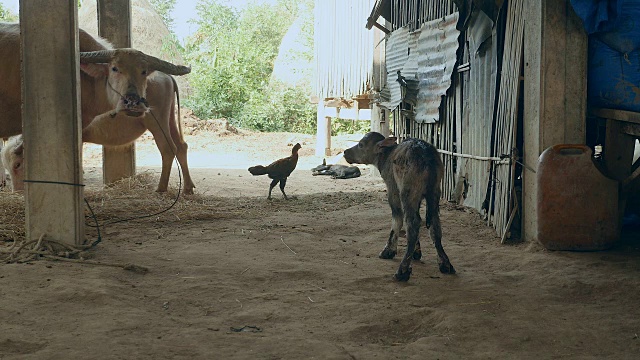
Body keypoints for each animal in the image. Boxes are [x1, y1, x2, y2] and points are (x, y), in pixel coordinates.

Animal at [0, 22, 195, 194]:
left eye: (17, 165)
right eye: (114, 68)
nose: (17, 191)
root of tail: (167, 77)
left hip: (156, 122)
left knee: (168, 148)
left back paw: (161, 188)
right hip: (169, 119)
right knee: (181, 146)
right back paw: (188, 187)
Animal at [344, 131, 456, 282]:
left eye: (361, 145)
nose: (345, 152)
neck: (386, 156)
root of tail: (427, 154)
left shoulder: (393, 191)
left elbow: (397, 219)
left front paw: (388, 250)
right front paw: (416, 251)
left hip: (408, 191)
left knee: (413, 223)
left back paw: (403, 270)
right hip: (434, 192)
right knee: (433, 224)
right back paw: (445, 263)